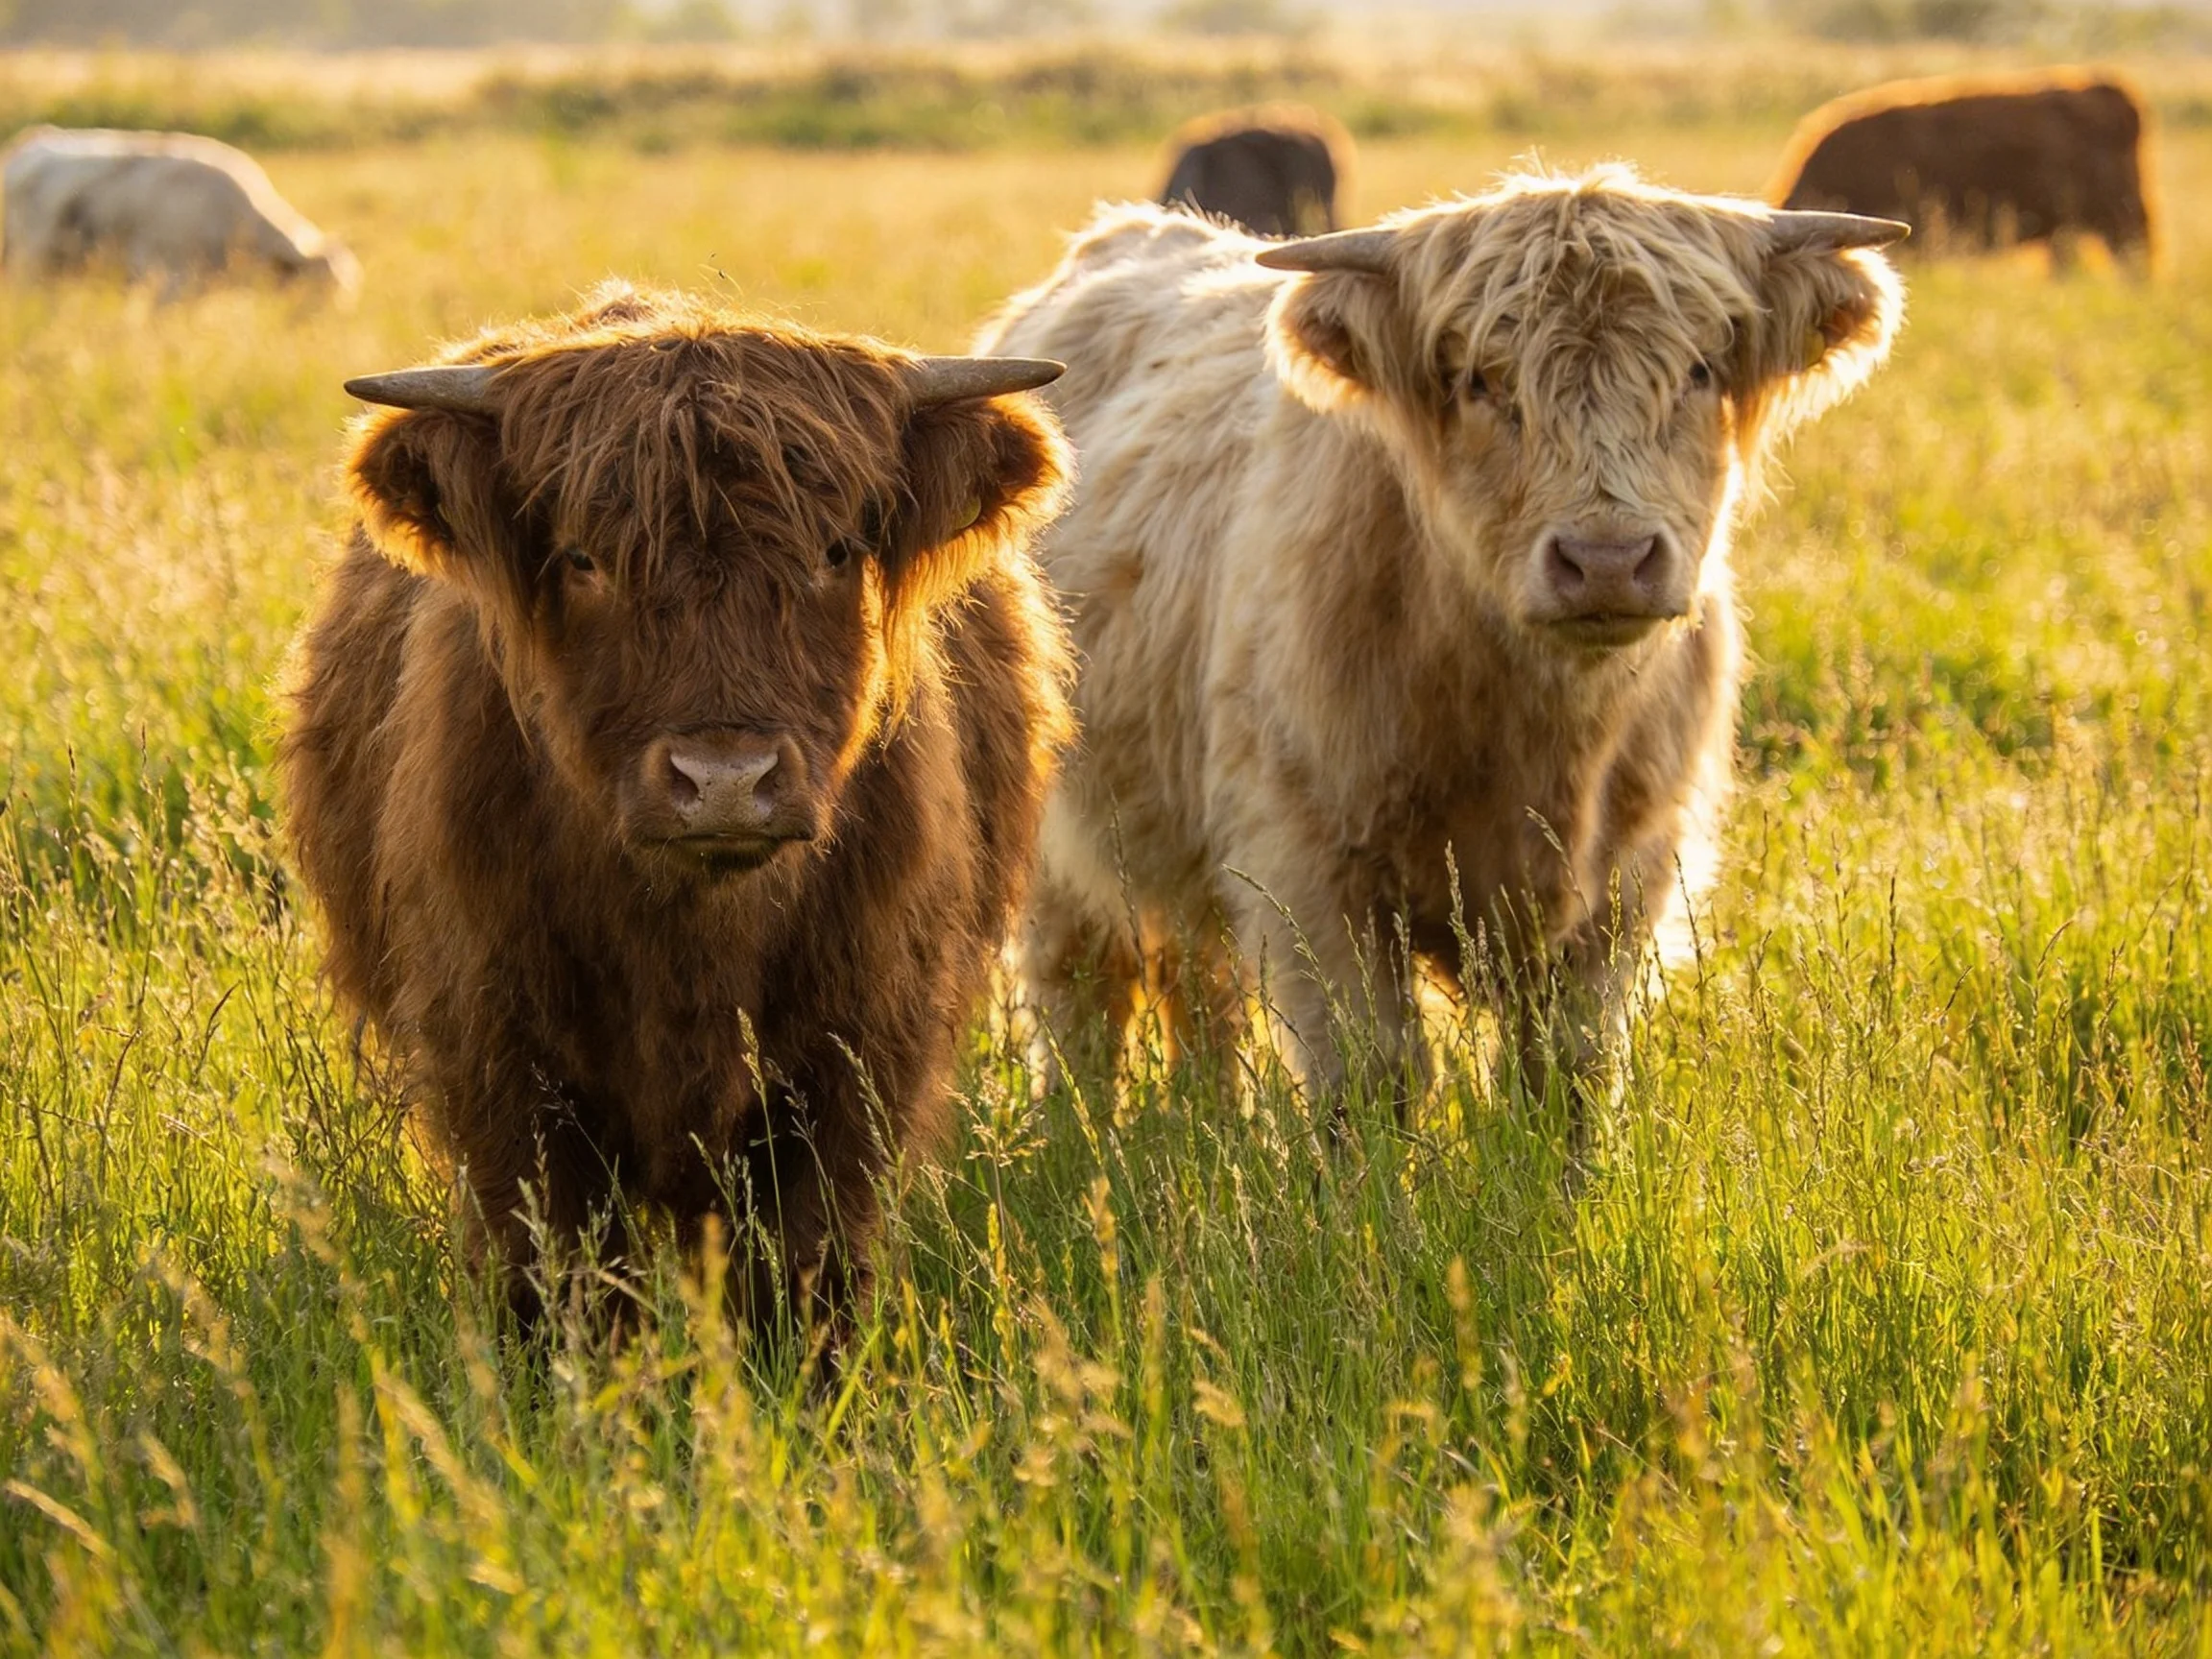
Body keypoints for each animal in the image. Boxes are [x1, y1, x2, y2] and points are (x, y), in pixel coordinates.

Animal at [280, 285, 1072, 1334]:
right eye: (582, 558)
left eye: (836, 549)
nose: (726, 778)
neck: (695, 937)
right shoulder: (499, 1058)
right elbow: (561, 1275)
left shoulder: (859, 1053)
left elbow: (808, 1268)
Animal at [980, 168, 1905, 1131]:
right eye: (1477, 380)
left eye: (1698, 369)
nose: (1607, 560)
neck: (1542, 736)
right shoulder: (1312, 866)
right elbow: (1373, 1071)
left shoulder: (1627, 879)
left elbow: (1565, 1073)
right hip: (1060, 840)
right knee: (1082, 992)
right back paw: (1078, 1133)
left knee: (1202, 987)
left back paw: (1215, 1120)